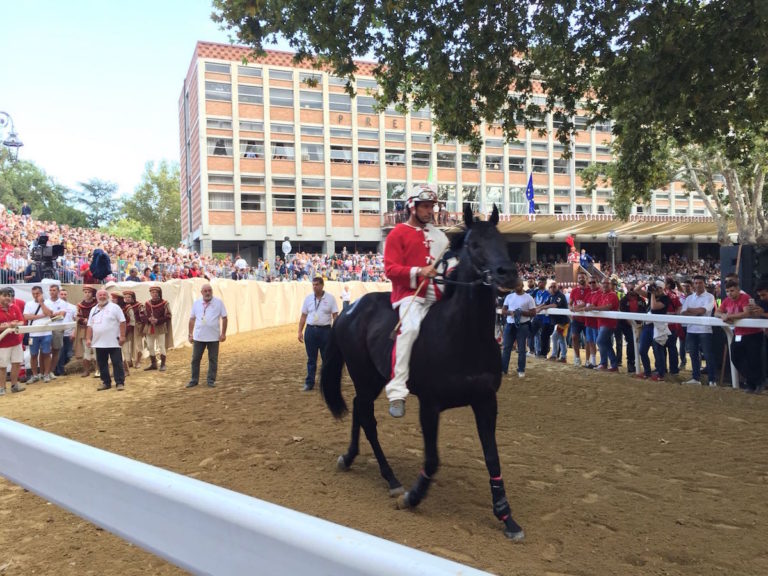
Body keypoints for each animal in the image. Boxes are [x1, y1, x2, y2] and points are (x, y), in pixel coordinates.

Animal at [320, 204, 524, 540]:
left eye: (504, 242)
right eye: (474, 245)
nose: (507, 274)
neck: (465, 337)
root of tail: (350, 308)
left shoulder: (486, 402)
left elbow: (492, 458)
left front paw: (507, 517)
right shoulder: (430, 405)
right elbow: (432, 458)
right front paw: (413, 497)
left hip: (373, 379)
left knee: (359, 412)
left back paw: (350, 457)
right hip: (364, 376)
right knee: (367, 417)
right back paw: (390, 478)